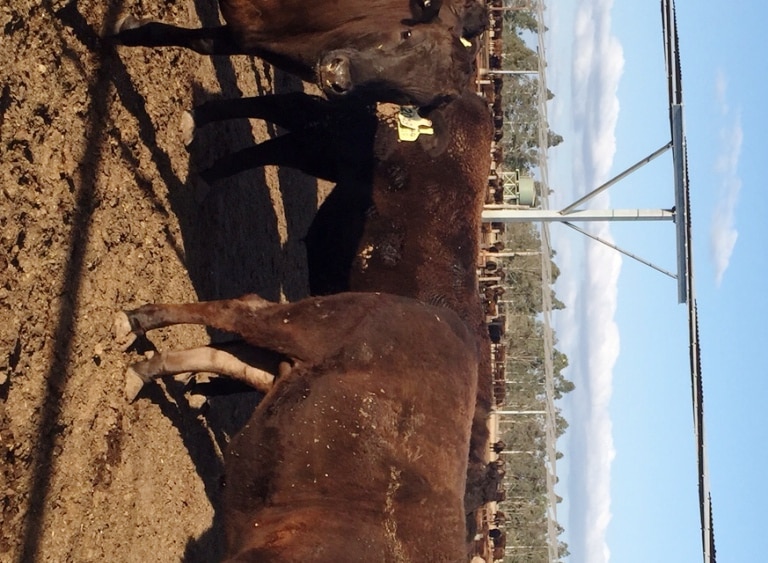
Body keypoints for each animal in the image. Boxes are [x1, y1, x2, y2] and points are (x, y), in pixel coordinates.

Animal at [108, 0, 486, 107]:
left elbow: (198, 43)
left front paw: (126, 31)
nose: (338, 77)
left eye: (406, 98)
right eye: (408, 34)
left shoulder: (251, 35)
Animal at [114, 294, 476, 560]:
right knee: (239, 310)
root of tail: (431, 311)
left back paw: (141, 373)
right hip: (295, 326)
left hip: (282, 367)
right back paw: (131, 322)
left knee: (226, 356)